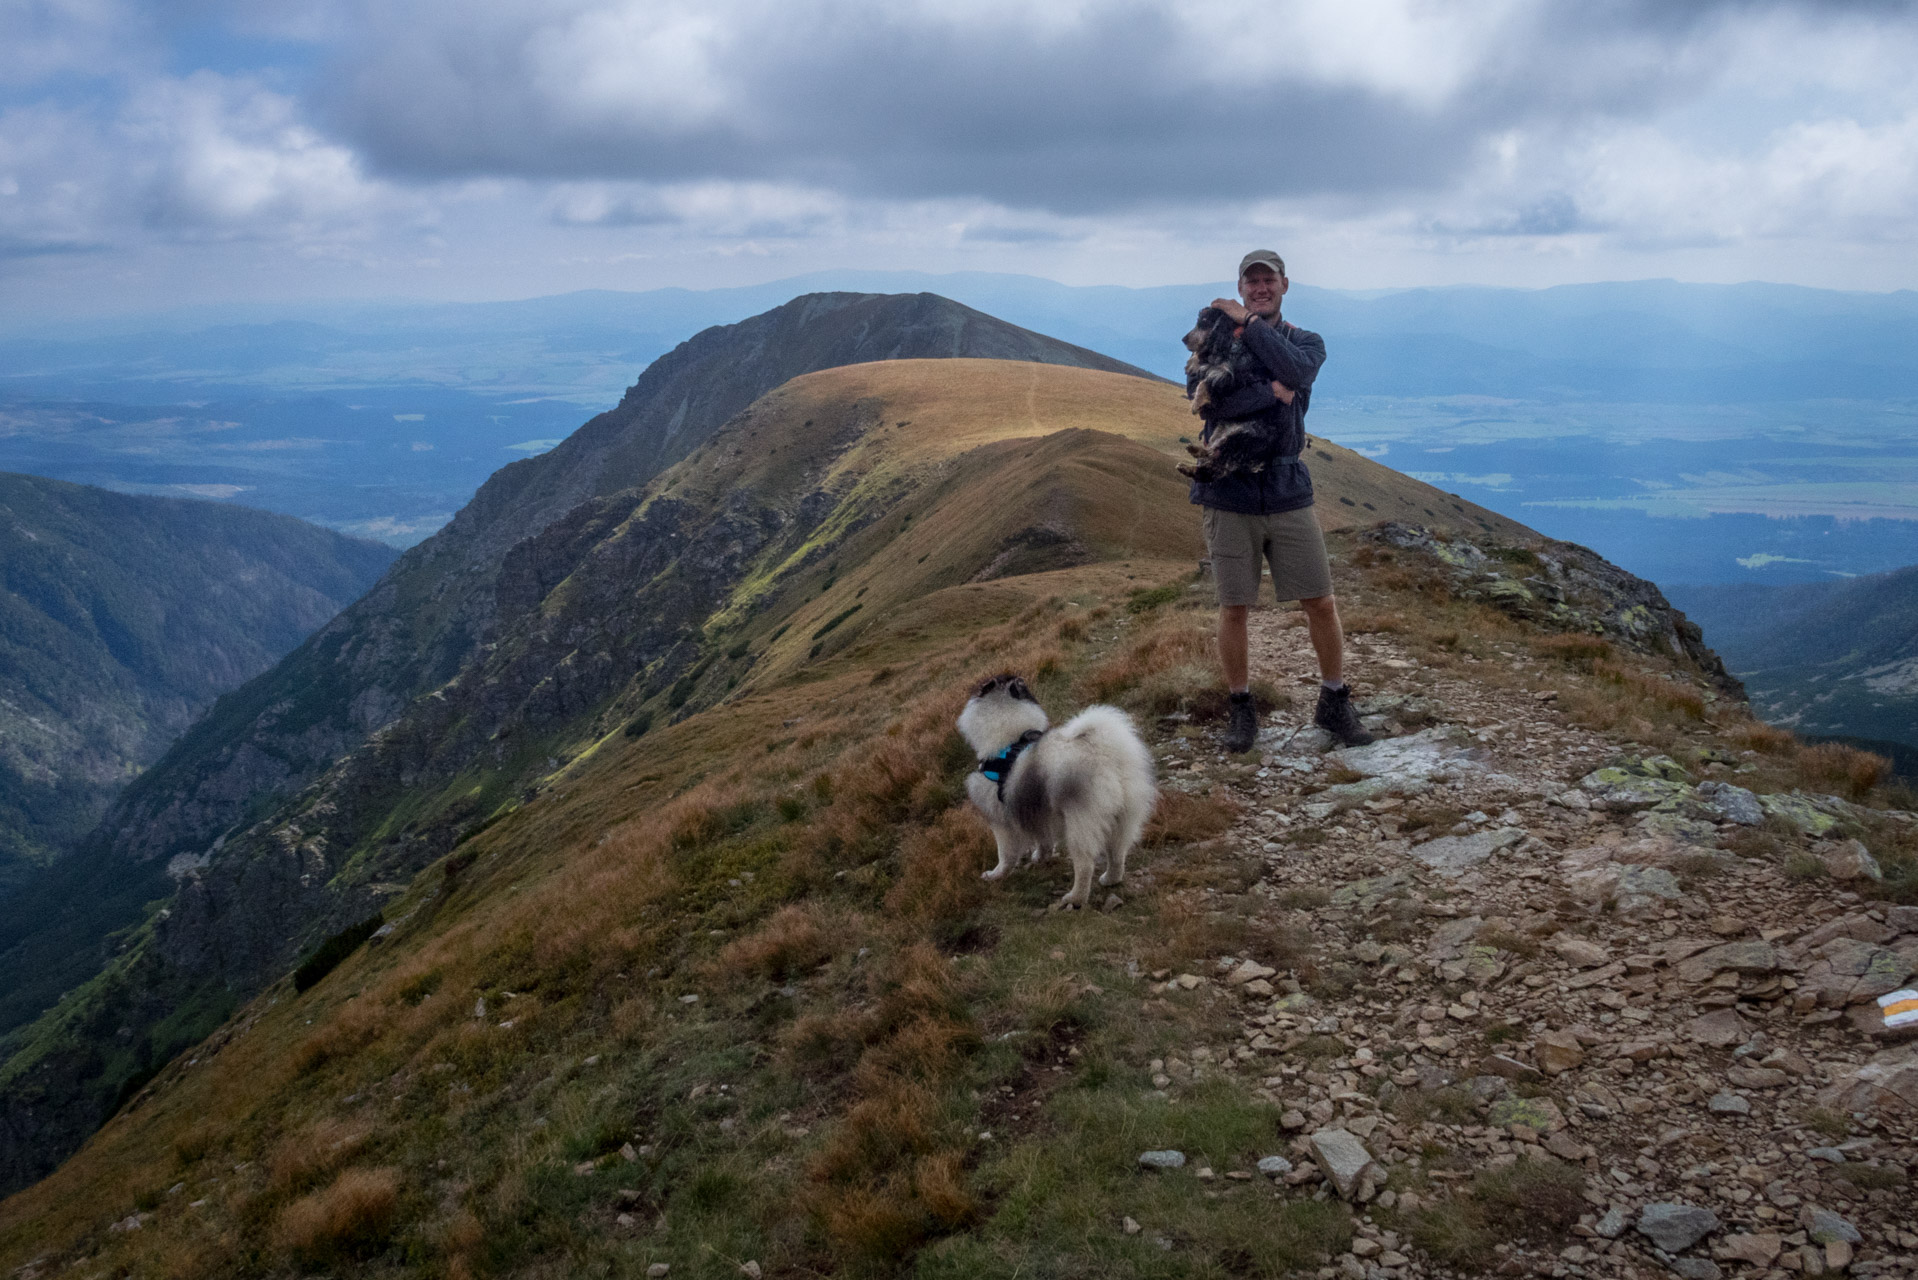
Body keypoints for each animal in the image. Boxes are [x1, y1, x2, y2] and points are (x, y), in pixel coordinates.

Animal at [955, 675, 1150, 905]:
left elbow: (1005, 855)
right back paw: (1110, 879)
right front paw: (1041, 857)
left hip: (1080, 822)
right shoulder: (1039, 812)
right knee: (1117, 853)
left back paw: (1075, 898)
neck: (1011, 739)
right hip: (1123, 816)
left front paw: (995, 875)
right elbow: (1043, 840)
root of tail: (1104, 751)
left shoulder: (1001, 821)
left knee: (1085, 865)